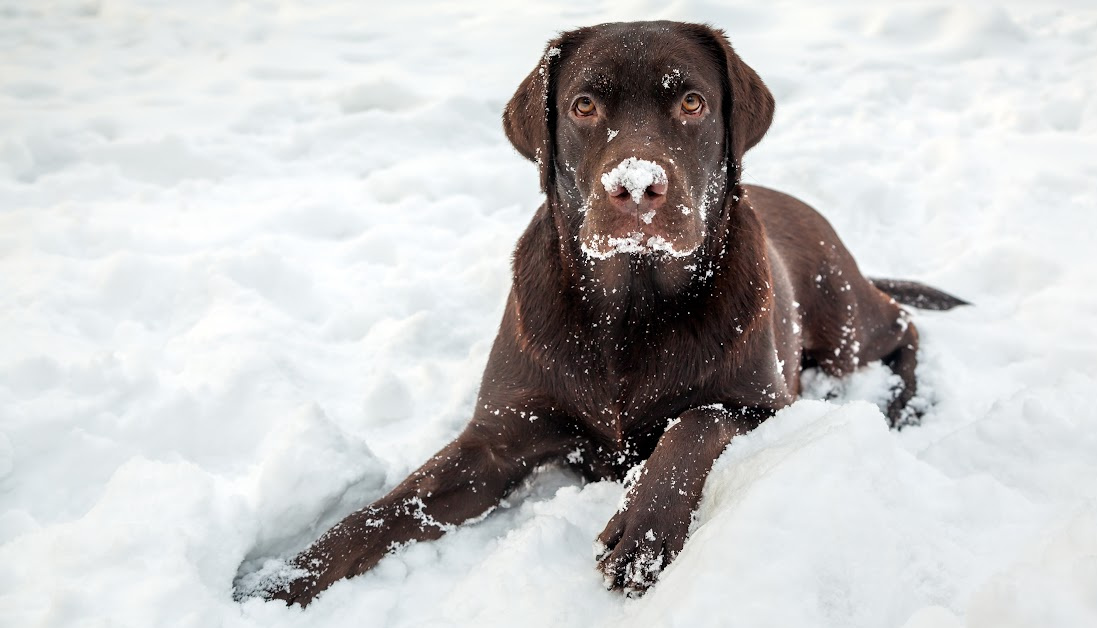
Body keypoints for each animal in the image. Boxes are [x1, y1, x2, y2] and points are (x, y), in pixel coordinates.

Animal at [261, 22, 965, 606]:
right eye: (583, 106)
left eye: (691, 103)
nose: (635, 186)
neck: (629, 310)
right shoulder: (496, 441)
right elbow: (384, 511)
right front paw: (276, 583)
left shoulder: (764, 407)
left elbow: (691, 425)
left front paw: (643, 538)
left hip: (842, 323)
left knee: (904, 326)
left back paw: (902, 407)